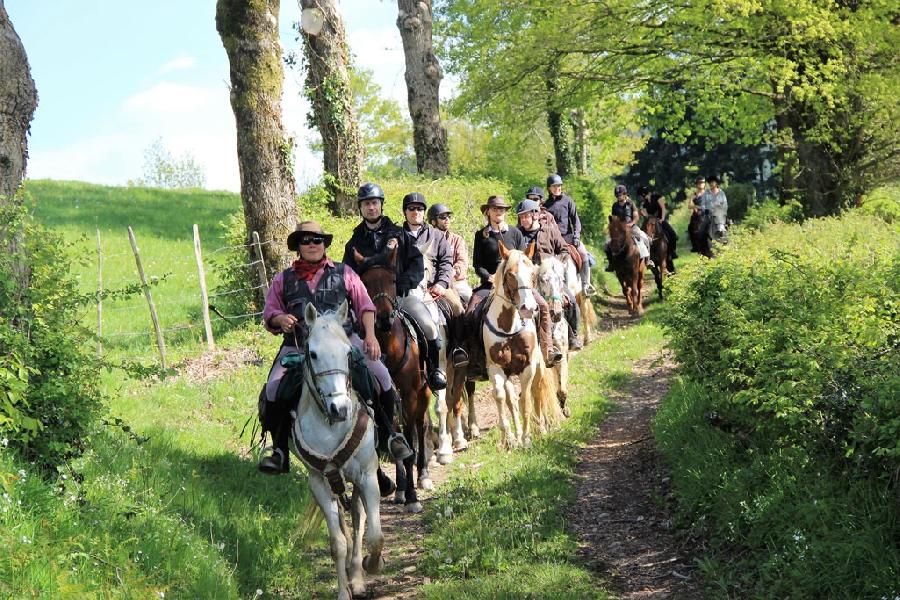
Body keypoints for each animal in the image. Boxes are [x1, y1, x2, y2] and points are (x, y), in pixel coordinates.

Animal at [290, 302, 382, 600]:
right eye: (313, 353)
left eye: (348, 352)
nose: (340, 409)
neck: (330, 425)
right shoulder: (319, 482)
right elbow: (337, 543)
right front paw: (343, 591)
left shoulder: (367, 476)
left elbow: (374, 535)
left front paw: (371, 565)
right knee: (346, 521)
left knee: (358, 517)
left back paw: (359, 577)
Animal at [356, 246, 432, 512]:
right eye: (365, 283)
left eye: (392, 281)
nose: (383, 319)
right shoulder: (380, 401)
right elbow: (391, 438)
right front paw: (399, 488)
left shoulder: (408, 396)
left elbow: (408, 438)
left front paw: (412, 496)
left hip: (424, 391)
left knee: (421, 425)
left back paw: (423, 474)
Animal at [486, 241, 564, 448]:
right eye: (510, 274)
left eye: (532, 274)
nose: (528, 309)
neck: (509, 327)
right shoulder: (496, 368)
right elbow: (501, 397)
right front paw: (509, 439)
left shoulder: (528, 367)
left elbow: (527, 401)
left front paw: (527, 438)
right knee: (511, 399)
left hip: (540, 367)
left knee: (536, 394)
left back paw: (541, 429)